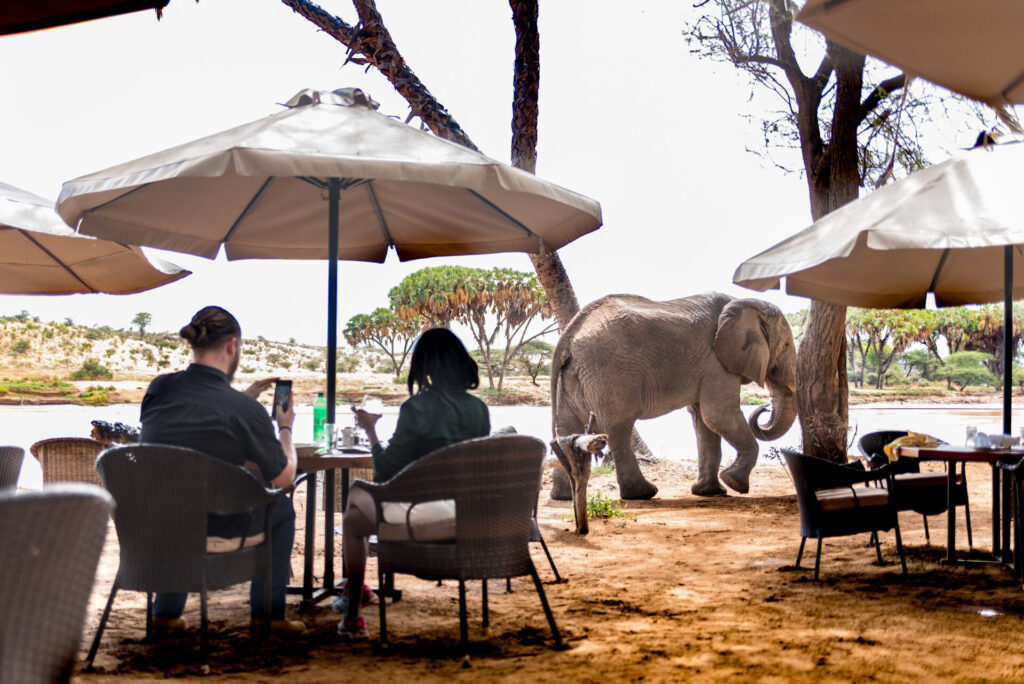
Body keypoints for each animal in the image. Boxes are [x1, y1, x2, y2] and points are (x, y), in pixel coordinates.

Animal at [550, 292, 798, 499]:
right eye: (786, 345)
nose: (764, 408)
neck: (742, 302)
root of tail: (568, 336)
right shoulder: (716, 363)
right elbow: (718, 416)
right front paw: (734, 484)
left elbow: (704, 421)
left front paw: (709, 492)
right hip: (609, 374)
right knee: (619, 427)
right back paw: (643, 494)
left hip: (573, 378)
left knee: (567, 428)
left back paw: (564, 496)